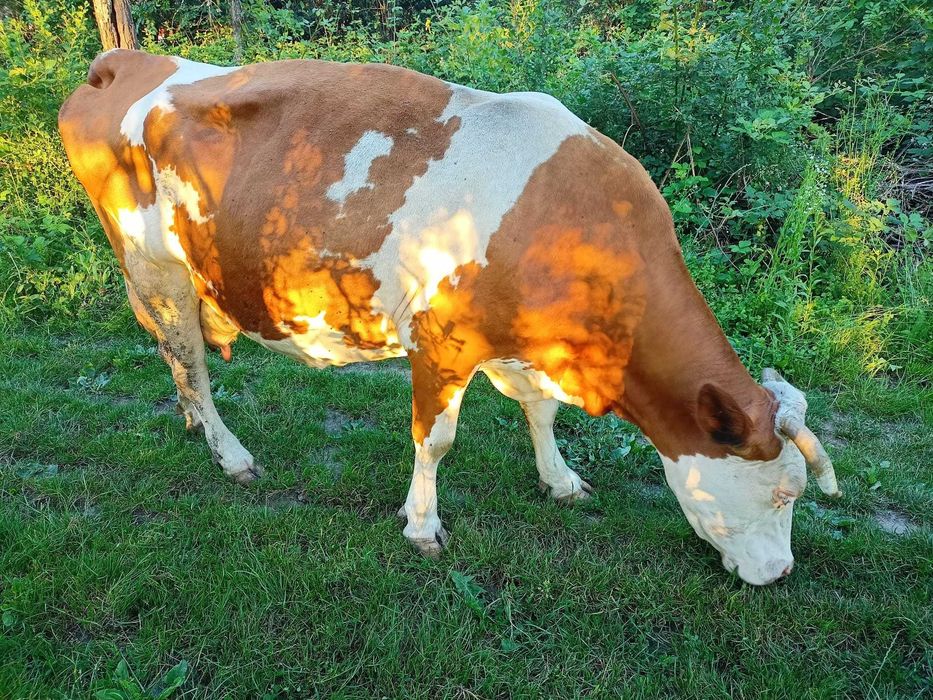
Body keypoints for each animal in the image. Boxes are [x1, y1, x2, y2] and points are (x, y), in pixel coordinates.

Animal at [59, 50, 840, 586]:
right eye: (782, 492)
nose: (779, 574)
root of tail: (125, 60)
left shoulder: (522, 343)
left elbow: (539, 412)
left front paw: (560, 481)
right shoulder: (440, 341)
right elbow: (435, 441)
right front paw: (422, 526)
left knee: (174, 355)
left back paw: (196, 426)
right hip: (155, 267)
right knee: (188, 358)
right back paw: (230, 453)